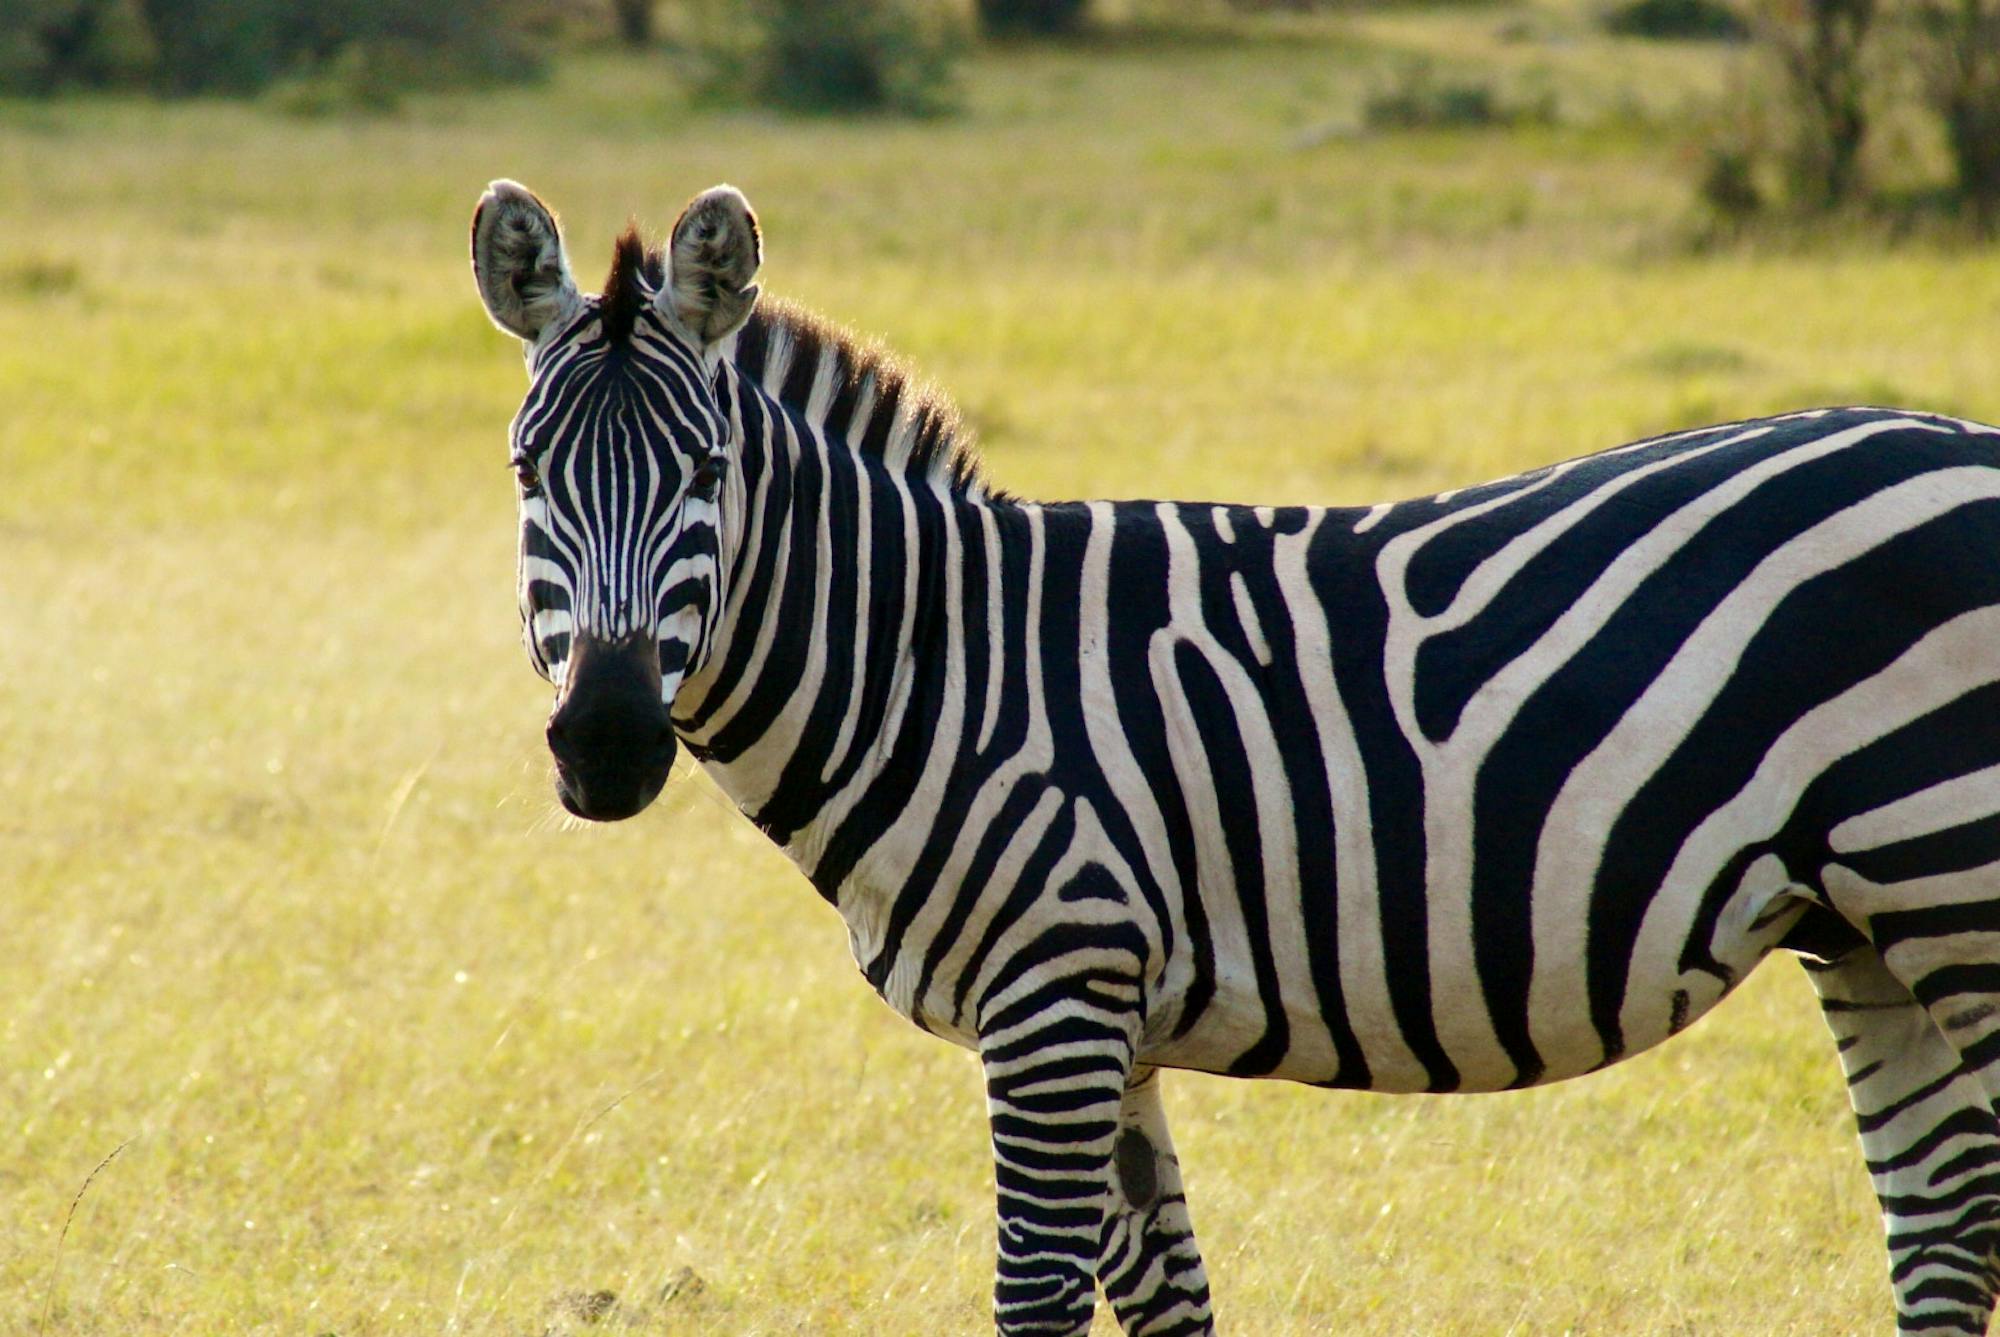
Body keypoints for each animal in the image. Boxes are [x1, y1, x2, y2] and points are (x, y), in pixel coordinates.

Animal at [471, 176, 2000, 1335]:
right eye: (527, 476)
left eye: (706, 474)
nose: (606, 745)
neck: (939, 663)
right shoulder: (1112, 1017)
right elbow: (1169, 1302)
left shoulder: (1055, 995)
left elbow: (1033, 1302)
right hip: (1860, 929)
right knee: (1939, 1240)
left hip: (1951, 884)